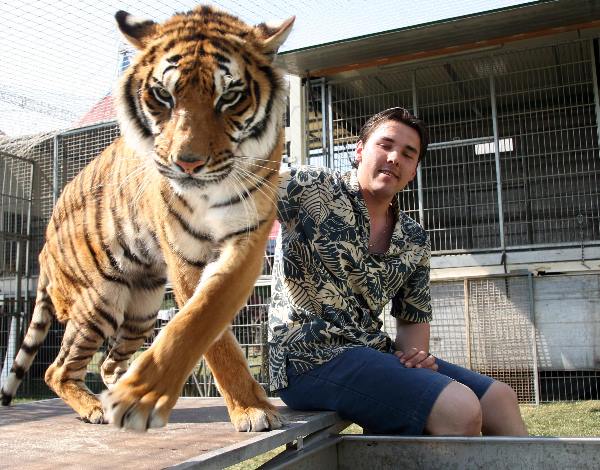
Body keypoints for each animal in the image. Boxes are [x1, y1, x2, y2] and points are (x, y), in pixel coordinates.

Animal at [1, 4, 292, 434]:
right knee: (58, 369)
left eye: (229, 96)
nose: (187, 164)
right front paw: (249, 408)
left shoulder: (248, 241)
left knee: (107, 363)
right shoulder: (185, 257)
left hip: (142, 309)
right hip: (101, 301)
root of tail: (44, 244)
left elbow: (206, 313)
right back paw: (94, 407)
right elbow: (206, 331)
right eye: (163, 95)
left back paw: (118, 391)